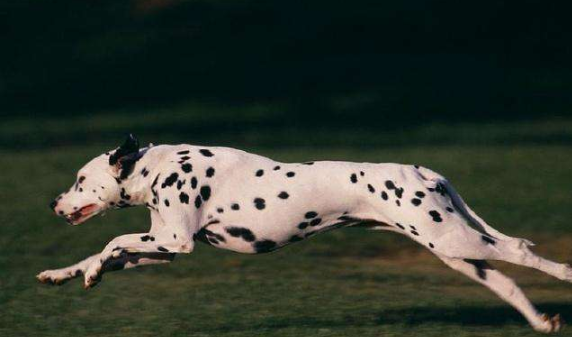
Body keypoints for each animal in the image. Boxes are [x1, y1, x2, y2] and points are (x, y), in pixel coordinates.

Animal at [38, 135, 568, 332]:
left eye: (80, 180)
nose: (53, 202)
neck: (162, 167)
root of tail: (422, 170)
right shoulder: (161, 250)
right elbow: (104, 254)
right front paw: (66, 274)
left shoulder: (174, 243)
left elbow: (109, 243)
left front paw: (90, 270)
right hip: (458, 255)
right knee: (510, 283)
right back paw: (542, 322)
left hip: (459, 242)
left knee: (521, 251)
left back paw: (563, 274)